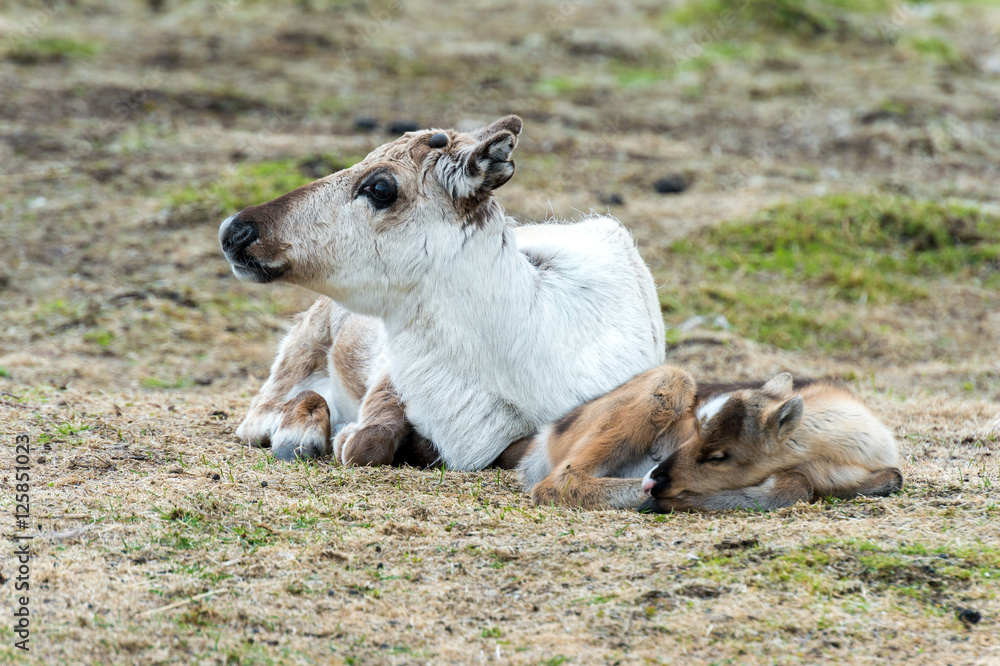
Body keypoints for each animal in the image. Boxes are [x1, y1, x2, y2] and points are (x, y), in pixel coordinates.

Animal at [218, 116, 666, 471]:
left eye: (380, 188)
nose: (234, 230)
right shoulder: (394, 370)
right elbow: (367, 440)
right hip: (306, 340)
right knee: (265, 411)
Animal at [518, 366, 903, 511]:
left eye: (719, 456)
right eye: (694, 432)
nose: (655, 479)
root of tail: (548, 433)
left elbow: (893, 477)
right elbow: (796, 485)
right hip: (671, 378)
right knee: (558, 482)